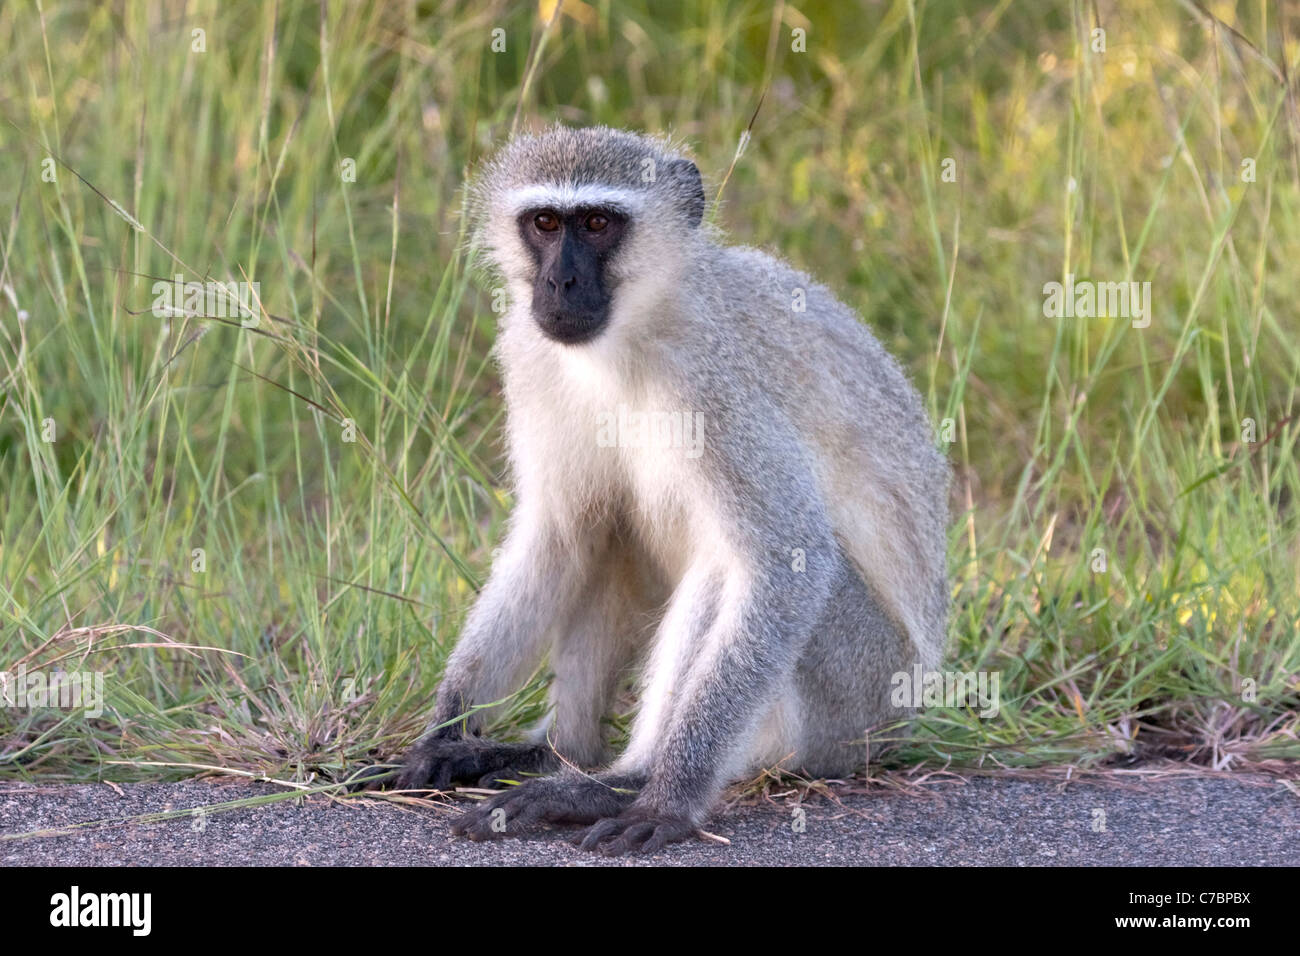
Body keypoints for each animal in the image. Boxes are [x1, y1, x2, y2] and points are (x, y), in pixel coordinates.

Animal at [377, 125, 949, 855]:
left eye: (598, 224)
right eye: (545, 223)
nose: (560, 281)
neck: (629, 333)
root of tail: (899, 725)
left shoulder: (711, 383)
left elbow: (787, 560)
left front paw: (671, 799)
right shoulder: (532, 354)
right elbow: (556, 533)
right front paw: (446, 730)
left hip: (856, 698)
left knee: (722, 569)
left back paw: (622, 781)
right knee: (605, 532)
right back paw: (559, 753)